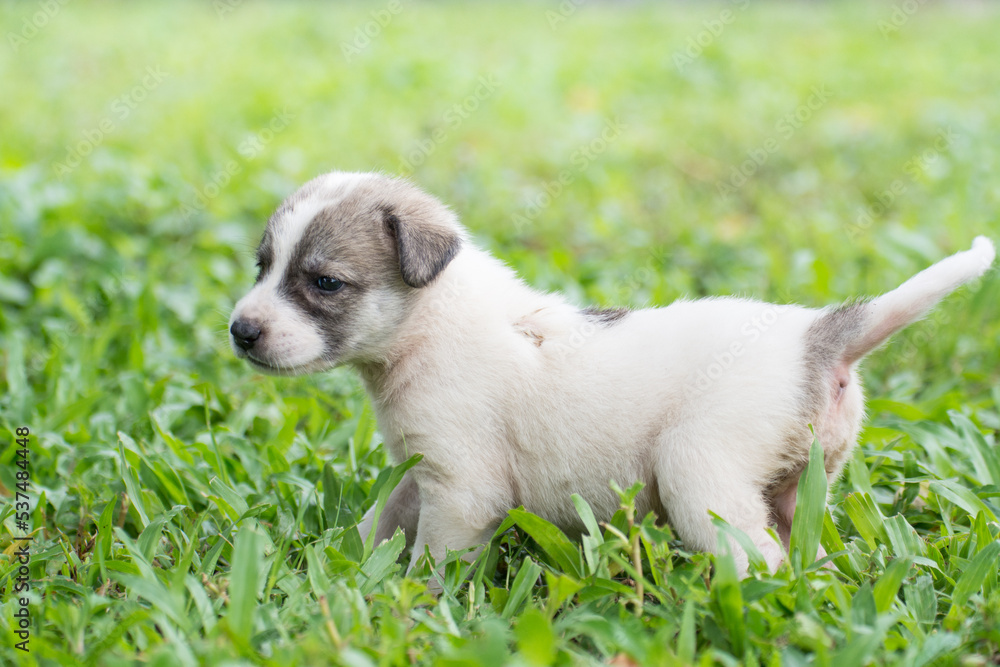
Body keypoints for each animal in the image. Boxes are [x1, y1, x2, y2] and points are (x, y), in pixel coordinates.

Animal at [230, 171, 996, 576]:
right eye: (261, 265)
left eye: (324, 282)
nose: (241, 330)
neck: (430, 321)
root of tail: (814, 336)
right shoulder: (421, 473)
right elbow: (380, 520)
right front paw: (344, 566)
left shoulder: (461, 487)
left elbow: (435, 558)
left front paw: (410, 603)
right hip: (798, 481)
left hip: (699, 469)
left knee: (762, 561)